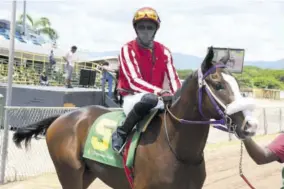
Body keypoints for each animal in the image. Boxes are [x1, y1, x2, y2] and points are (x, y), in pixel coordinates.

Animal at [12, 46, 258, 188]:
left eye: (239, 85)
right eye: (218, 85)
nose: (251, 125)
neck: (176, 148)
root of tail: (62, 118)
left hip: (87, 173)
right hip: (68, 172)